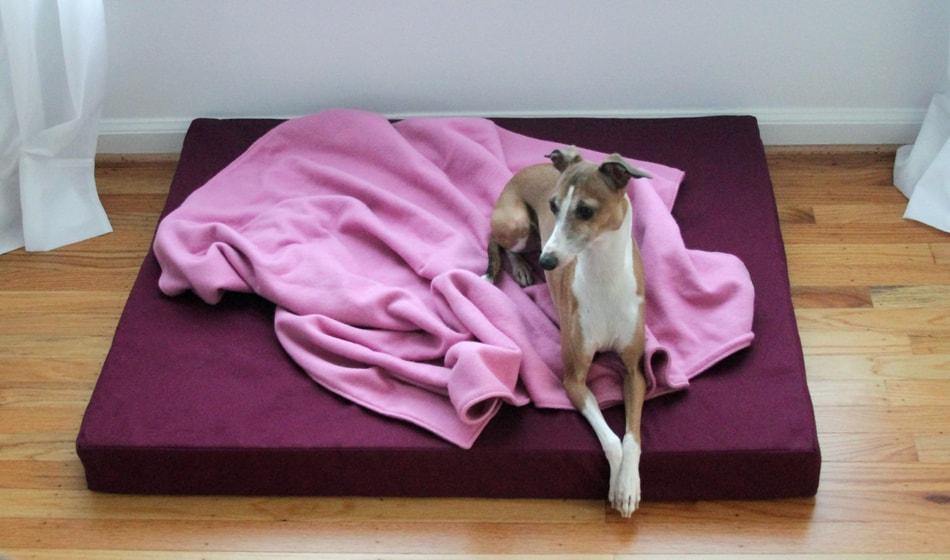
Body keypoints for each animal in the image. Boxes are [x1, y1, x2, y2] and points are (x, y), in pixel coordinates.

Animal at [488, 148, 652, 516]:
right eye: (553, 206)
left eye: (586, 210)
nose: (547, 262)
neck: (603, 278)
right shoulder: (573, 379)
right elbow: (612, 441)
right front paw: (619, 487)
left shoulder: (635, 372)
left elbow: (631, 438)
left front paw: (628, 485)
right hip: (517, 224)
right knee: (496, 241)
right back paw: (519, 268)